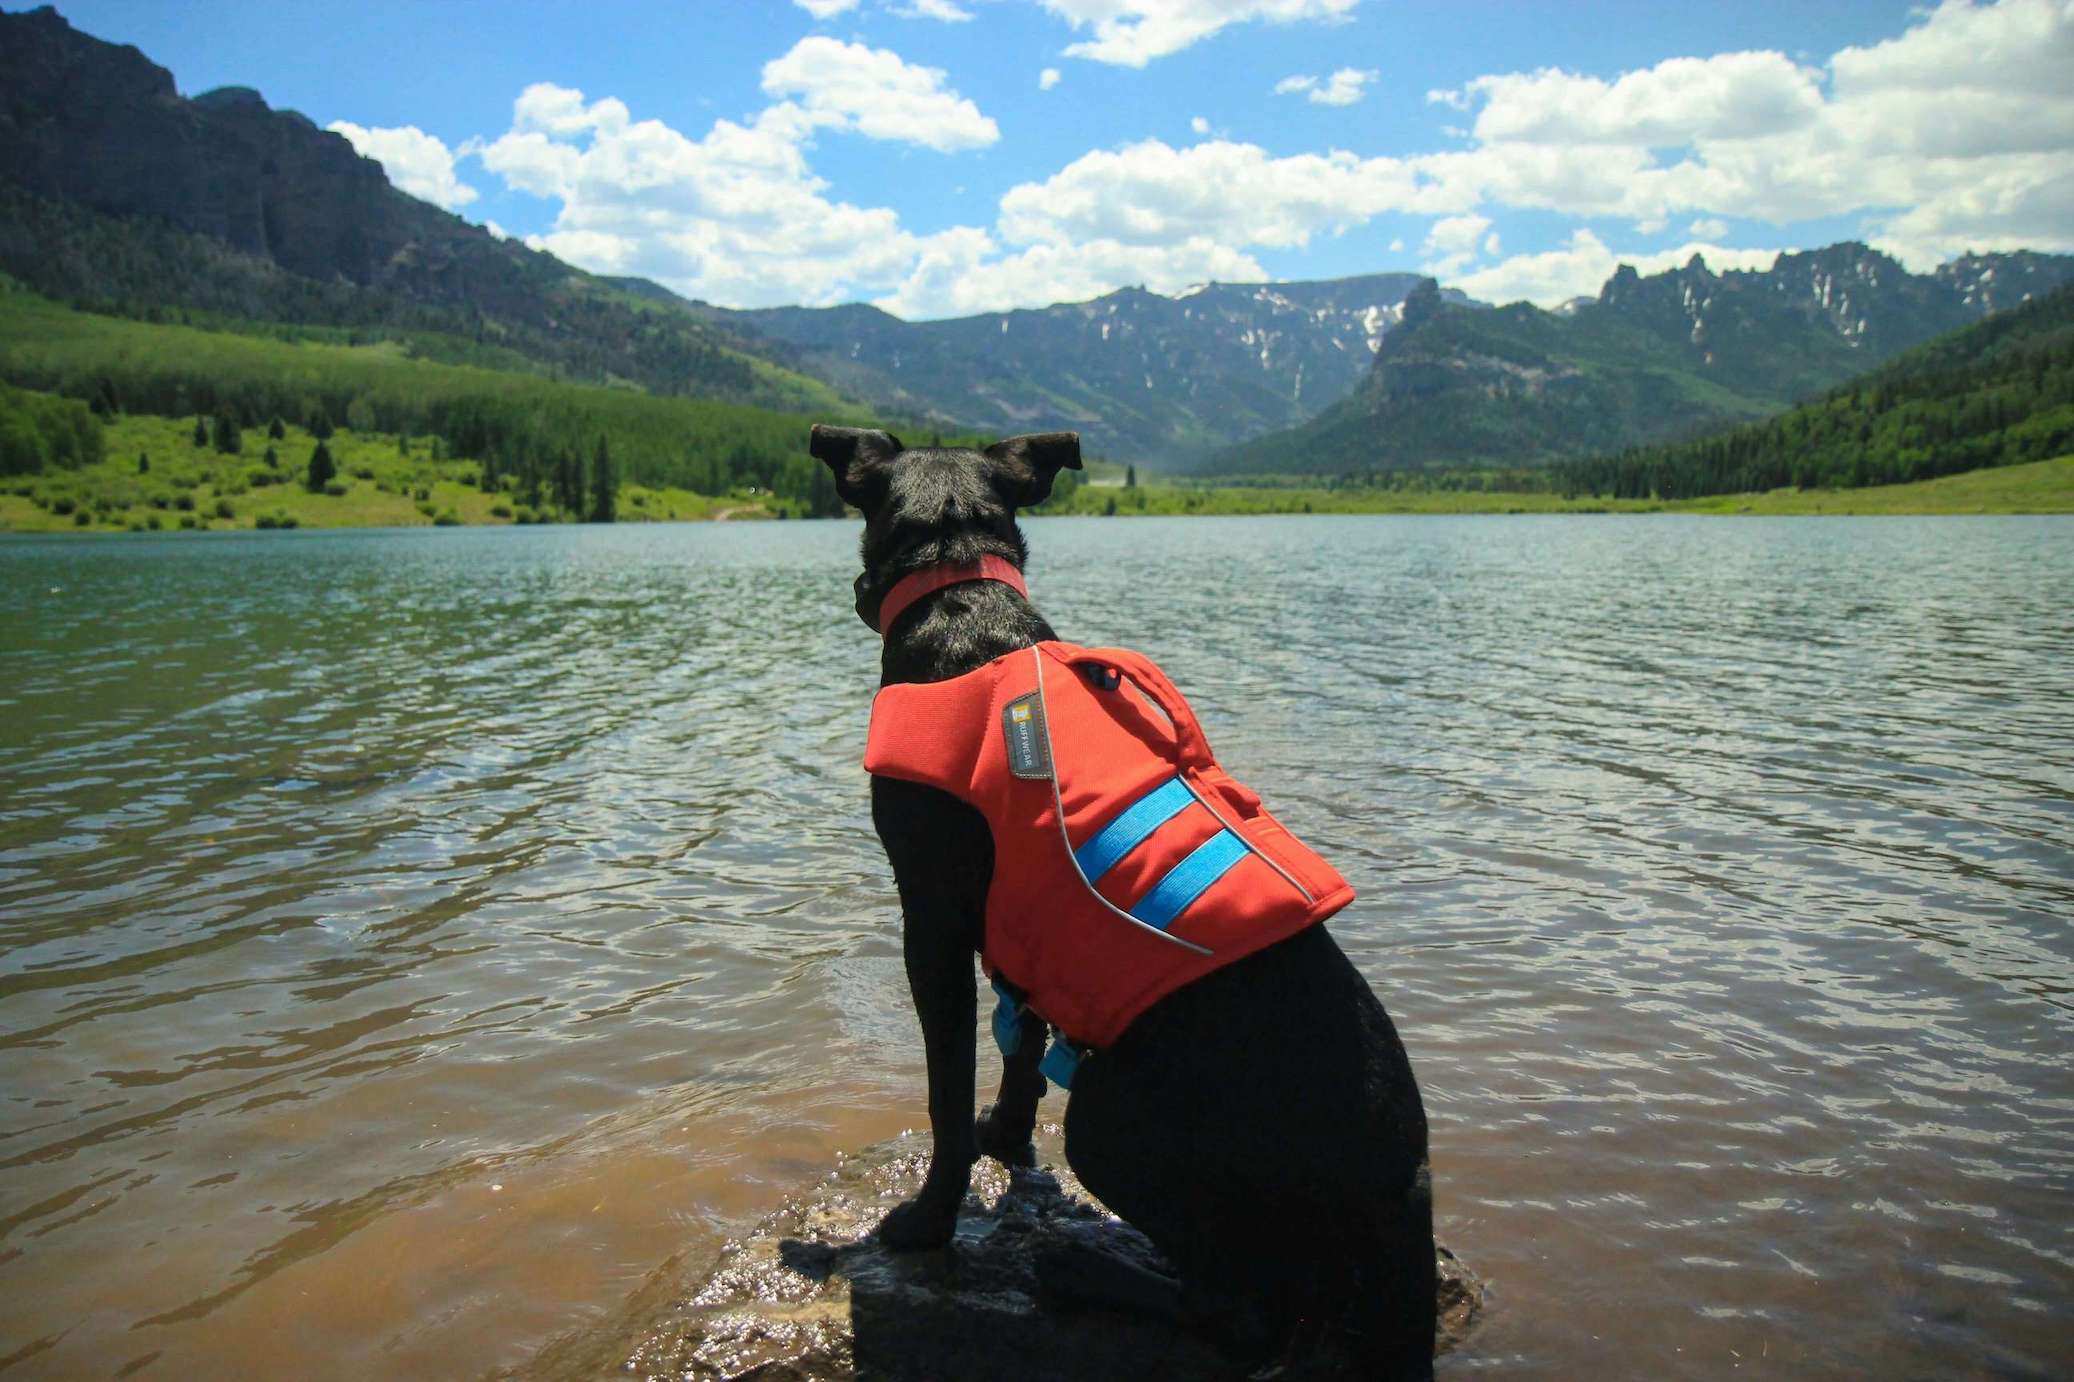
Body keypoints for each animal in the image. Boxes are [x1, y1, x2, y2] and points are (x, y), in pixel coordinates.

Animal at [817, 425, 1435, 1369]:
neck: (960, 593)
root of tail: (1403, 1190)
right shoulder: (1024, 925)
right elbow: (1021, 1047)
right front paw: (1006, 1136)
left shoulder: (931, 919)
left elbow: (947, 1096)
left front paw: (927, 1221)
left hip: (1108, 1117)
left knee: (1243, 1312)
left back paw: (1082, 1269)